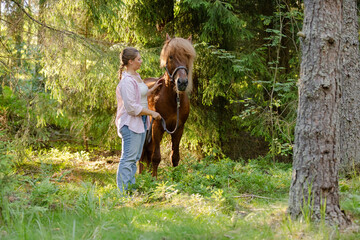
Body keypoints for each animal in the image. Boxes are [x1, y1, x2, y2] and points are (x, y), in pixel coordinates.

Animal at [141, 33, 197, 177]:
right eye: (170, 56)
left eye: (188, 56)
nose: (182, 82)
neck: (173, 101)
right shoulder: (157, 127)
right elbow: (156, 157)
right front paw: (154, 180)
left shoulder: (179, 129)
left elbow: (175, 157)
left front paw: (175, 178)